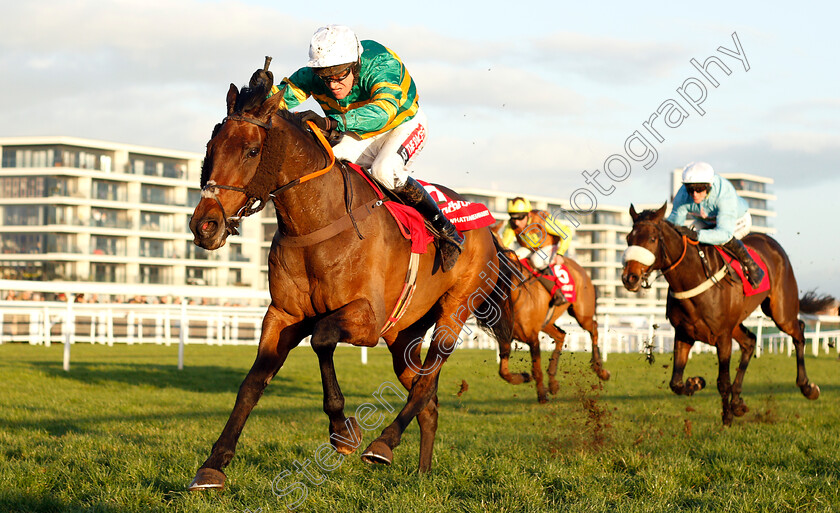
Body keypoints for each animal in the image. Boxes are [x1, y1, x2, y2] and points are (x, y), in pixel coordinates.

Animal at [188, 73, 516, 488]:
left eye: (251, 150)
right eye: (211, 147)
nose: (204, 225)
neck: (319, 222)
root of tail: (487, 226)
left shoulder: (366, 320)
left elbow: (322, 339)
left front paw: (342, 431)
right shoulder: (282, 316)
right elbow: (251, 383)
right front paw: (213, 464)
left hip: (454, 310)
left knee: (426, 382)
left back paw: (383, 444)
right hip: (403, 335)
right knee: (428, 399)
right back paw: (422, 474)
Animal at [486, 226, 612, 402]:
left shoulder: (532, 337)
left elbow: (536, 369)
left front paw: (542, 394)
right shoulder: (505, 337)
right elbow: (503, 372)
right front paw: (524, 377)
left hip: (582, 314)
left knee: (593, 328)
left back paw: (600, 370)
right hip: (547, 323)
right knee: (561, 335)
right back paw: (553, 382)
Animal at [620, 203, 816, 424]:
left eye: (652, 239)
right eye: (628, 239)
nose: (630, 278)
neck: (693, 278)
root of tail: (771, 242)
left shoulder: (722, 337)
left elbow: (723, 381)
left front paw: (727, 417)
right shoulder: (684, 334)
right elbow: (676, 383)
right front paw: (696, 383)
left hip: (780, 312)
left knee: (798, 331)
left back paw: (807, 387)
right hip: (737, 322)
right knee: (750, 342)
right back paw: (738, 402)